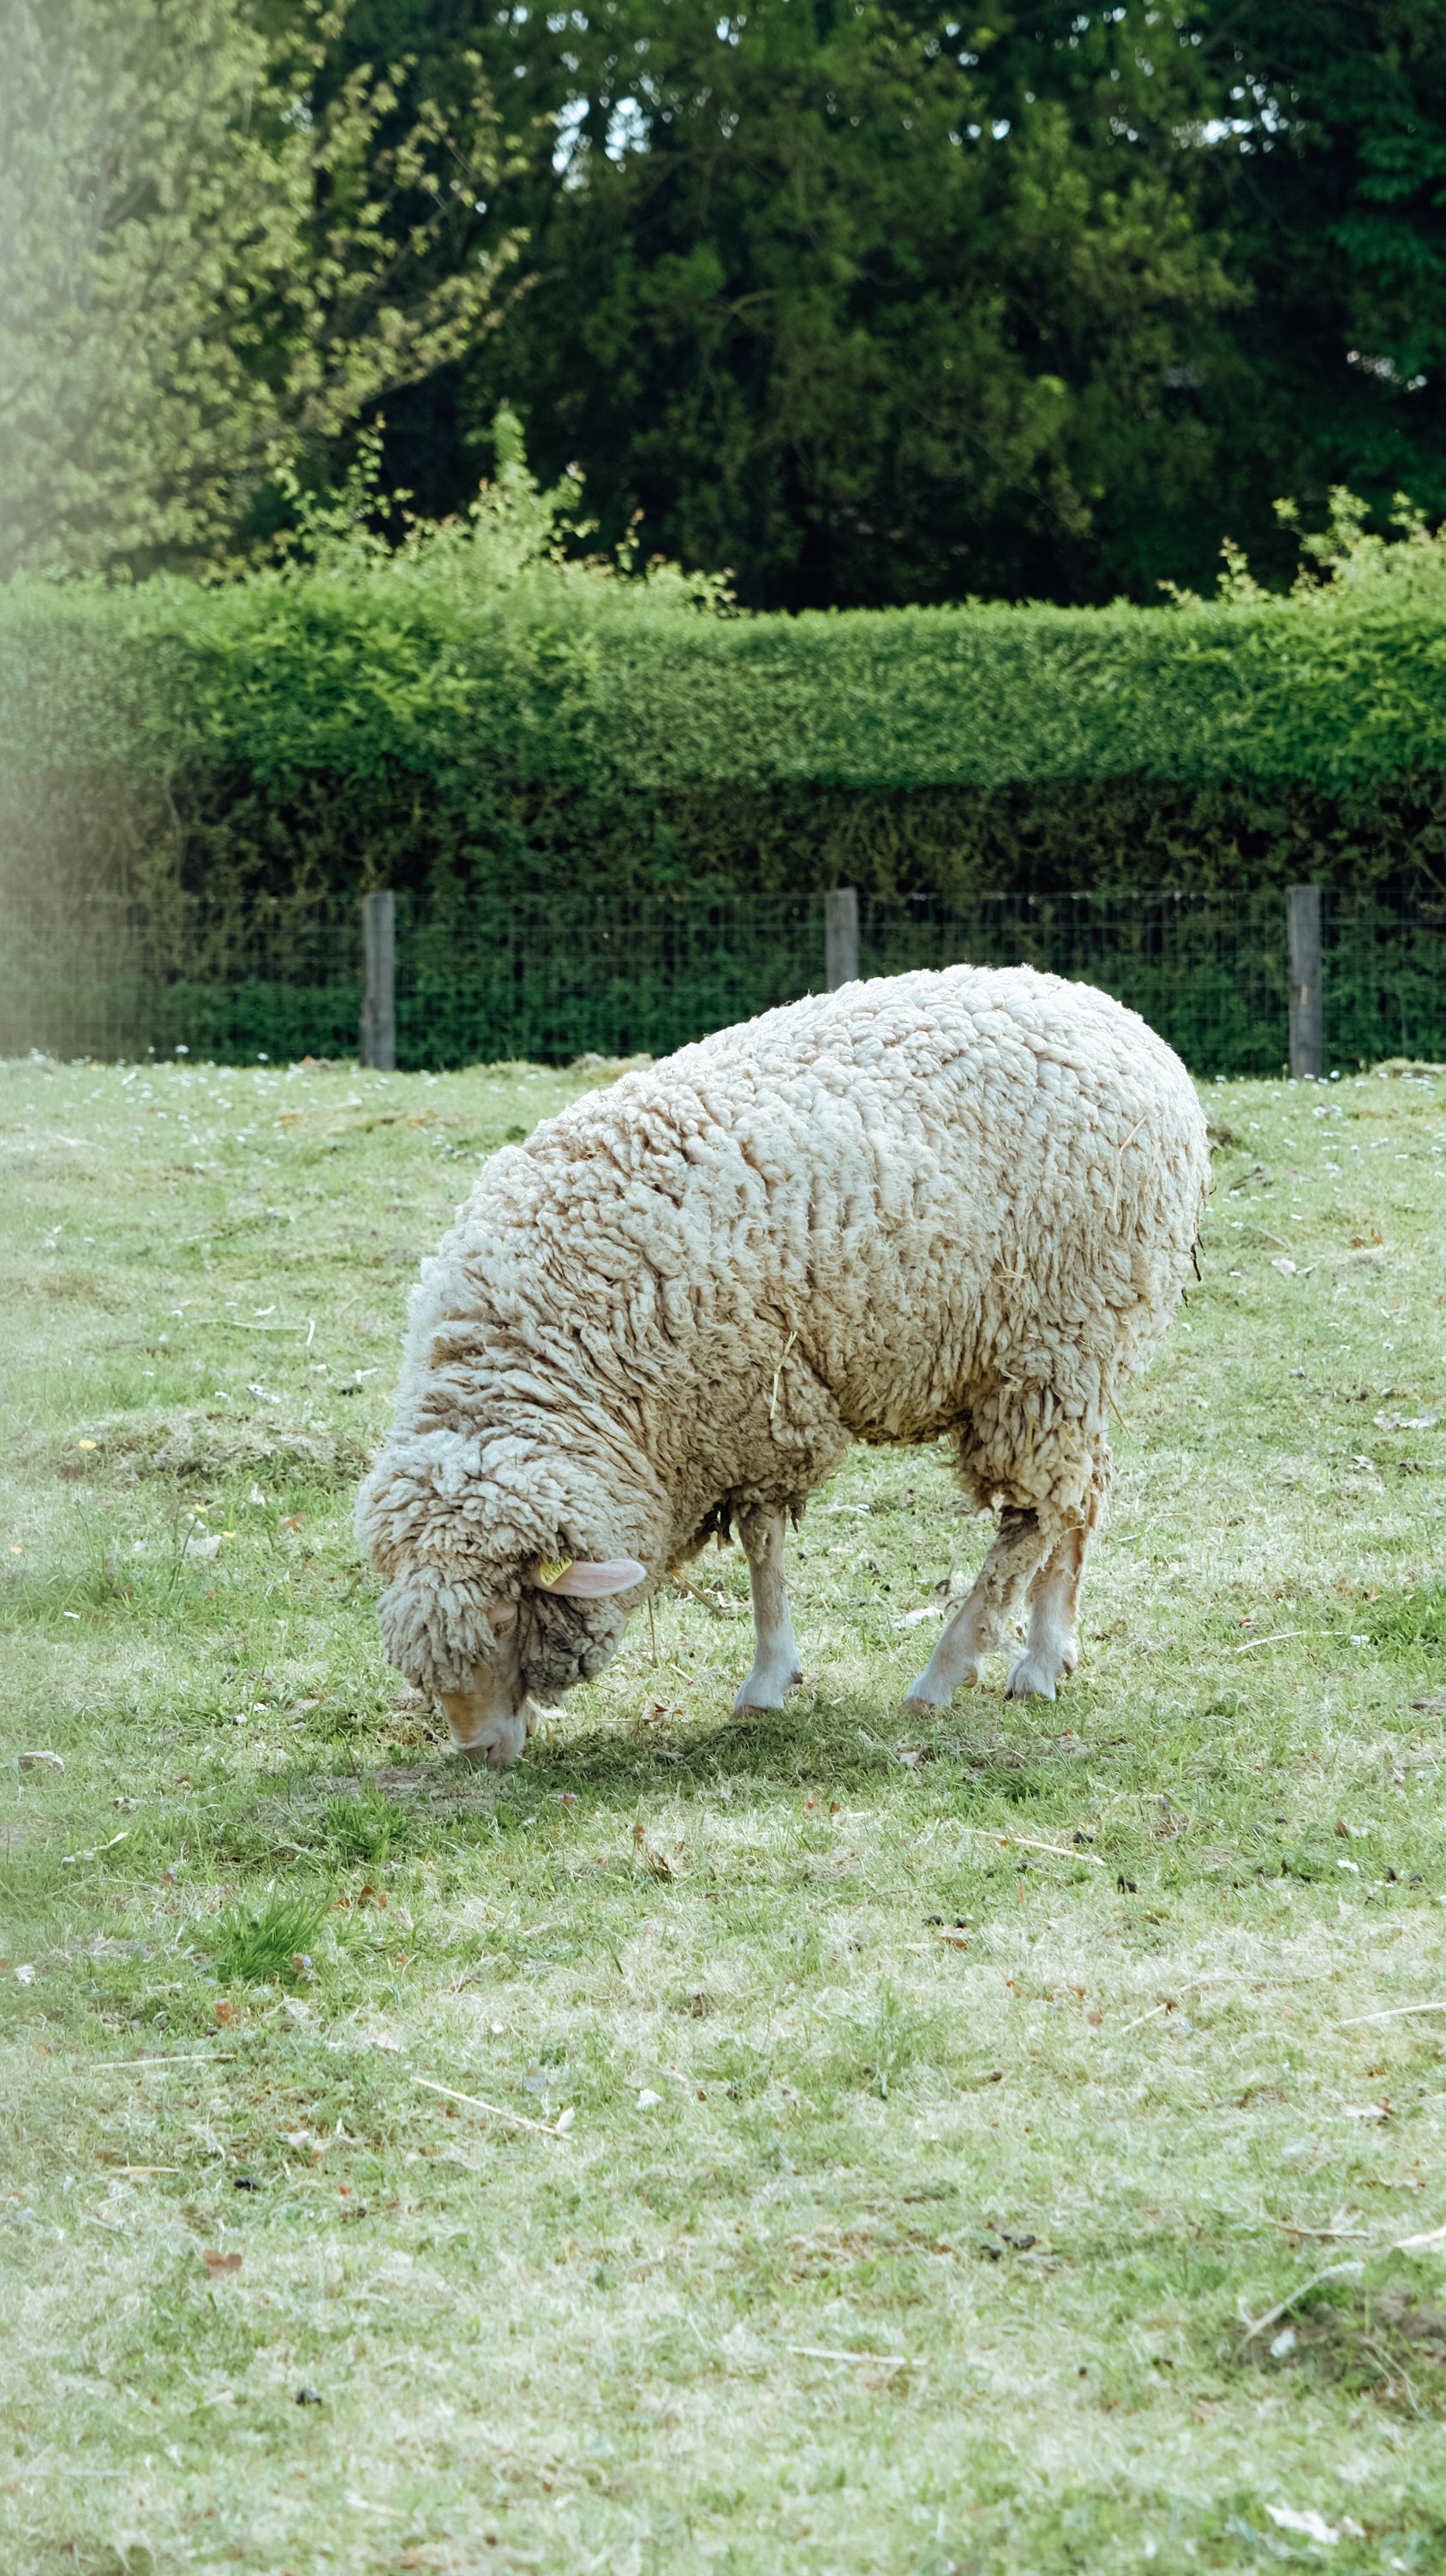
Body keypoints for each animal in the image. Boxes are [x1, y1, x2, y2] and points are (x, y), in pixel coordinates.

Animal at [357, 963, 1209, 1765]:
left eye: (506, 1616)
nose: (479, 1752)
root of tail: (1124, 1023)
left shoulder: (749, 1401)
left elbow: (762, 1545)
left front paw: (767, 1680)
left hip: (1050, 1344)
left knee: (1031, 1515)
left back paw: (945, 1673)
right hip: (1082, 1357)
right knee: (1081, 1493)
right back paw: (1045, 1656)